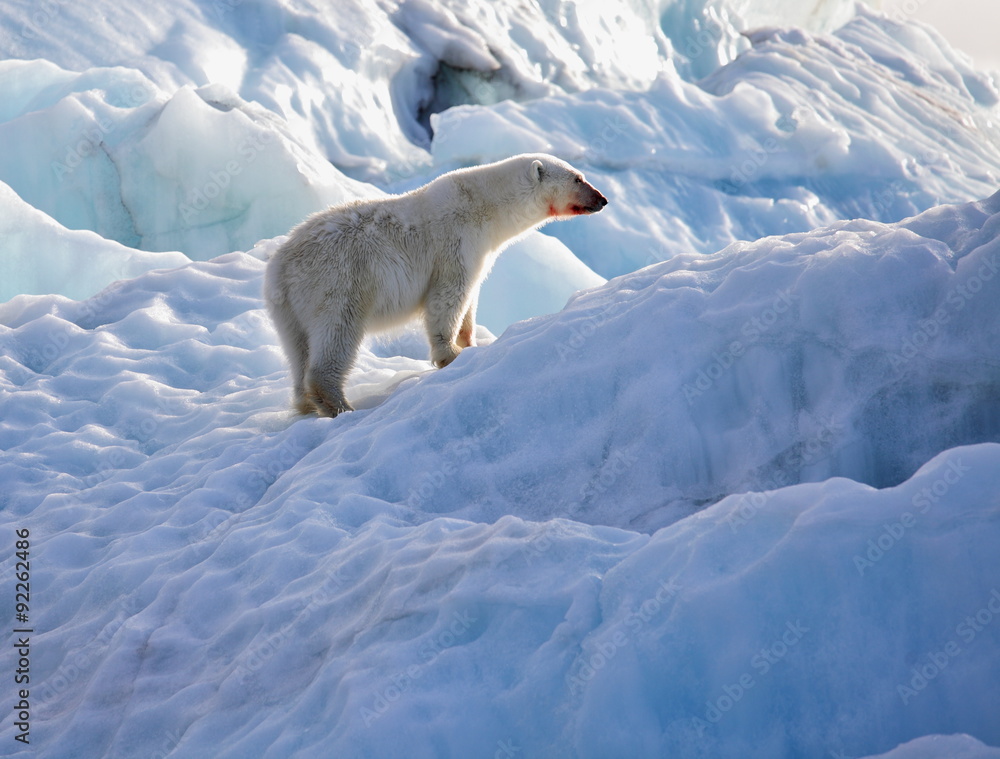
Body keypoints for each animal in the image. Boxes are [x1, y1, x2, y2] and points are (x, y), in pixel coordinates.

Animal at [263, 152, 608, 417]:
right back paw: (340, 405)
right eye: (578, 179)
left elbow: (471, 298)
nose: (602, 199)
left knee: (297, 348)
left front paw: (470, 342)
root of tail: (281, 268)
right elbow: (449, 295)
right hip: (338, 282)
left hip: (287, 309)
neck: (485, 205)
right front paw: (451, 354)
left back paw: (306, 403)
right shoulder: (457, 242)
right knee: (338, 333)